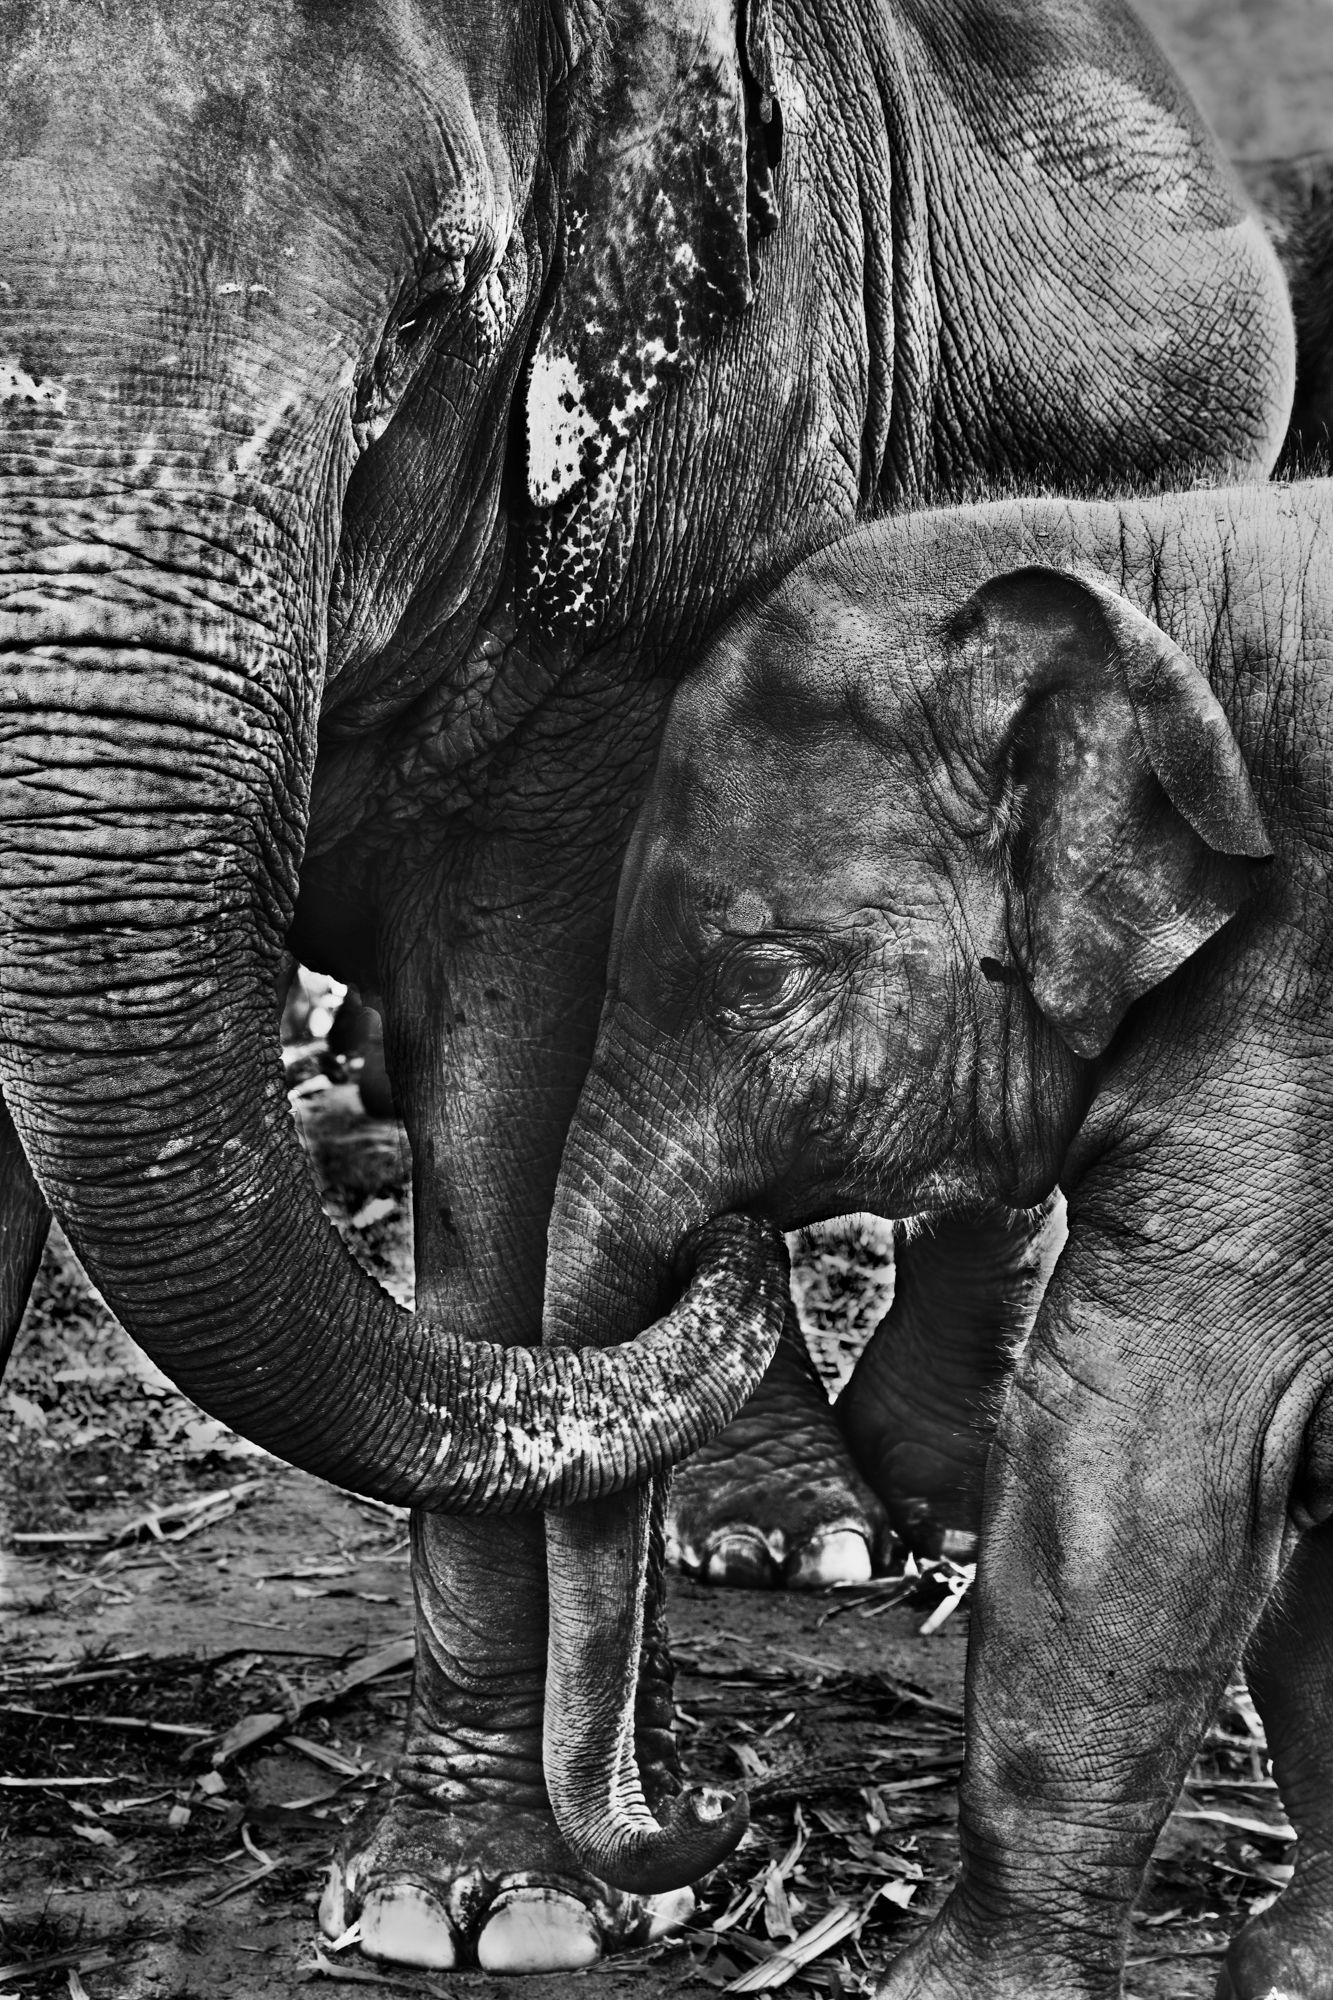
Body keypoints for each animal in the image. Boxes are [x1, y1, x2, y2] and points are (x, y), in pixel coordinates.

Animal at [546, 477, 1333, 1997]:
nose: (725, 1793)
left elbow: (1144, 1452)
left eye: (758, 972)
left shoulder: (1292, 1036)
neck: (1162, 554)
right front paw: (1296, 1969)